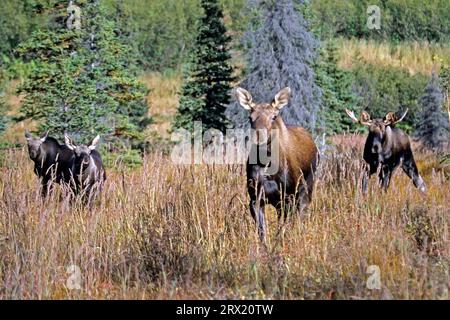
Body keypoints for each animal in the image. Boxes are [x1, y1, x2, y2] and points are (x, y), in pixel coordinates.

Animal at [236, 86, 320, 241]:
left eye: (273, 116)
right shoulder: (255, 198)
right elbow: (262, 231)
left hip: (307, 184)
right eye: (250, 117)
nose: (259, 137)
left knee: (303, 212)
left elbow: (282, 230)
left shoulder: (287, 197)